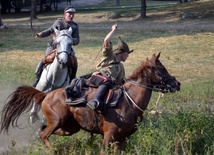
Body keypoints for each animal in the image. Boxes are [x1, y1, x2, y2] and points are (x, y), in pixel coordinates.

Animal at [0, 53, 181, 154]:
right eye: (161, 69)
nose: (177, 83)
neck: (128, 100)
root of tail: (46, 95)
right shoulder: (108, 136)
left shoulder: (121, 140)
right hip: (58, 121)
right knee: (44, 134)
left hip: (68, 127)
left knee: (42, 131)